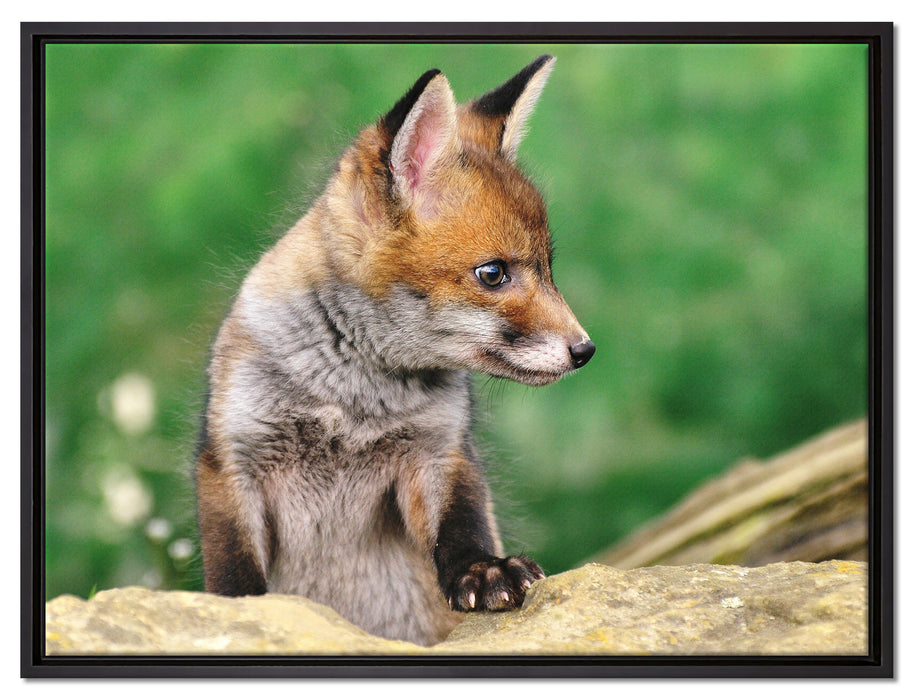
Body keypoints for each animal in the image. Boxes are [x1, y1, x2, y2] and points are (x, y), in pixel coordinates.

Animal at [195, 55, 595, 647]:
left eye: (548, 268)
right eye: (493, 274)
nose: (585, 349)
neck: (352, 402)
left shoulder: (439, 452)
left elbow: (463, 525)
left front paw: (483, 570)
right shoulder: (231, 461)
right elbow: (233, 577)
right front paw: (242, 618)